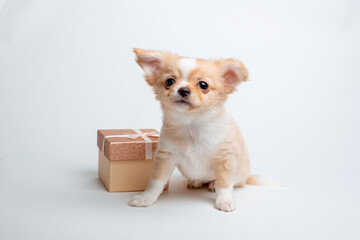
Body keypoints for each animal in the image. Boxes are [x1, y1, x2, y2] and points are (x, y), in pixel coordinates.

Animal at [131, 48, 260, 212]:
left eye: (203, 85)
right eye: (169, 81)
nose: (183, 90)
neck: (191, 124)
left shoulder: (225, 158)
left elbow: (224, 183)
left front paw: (224, 201)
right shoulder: (166, 155)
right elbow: (156, 180)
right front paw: (146, 198)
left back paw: (212, 184)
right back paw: (195, 181)